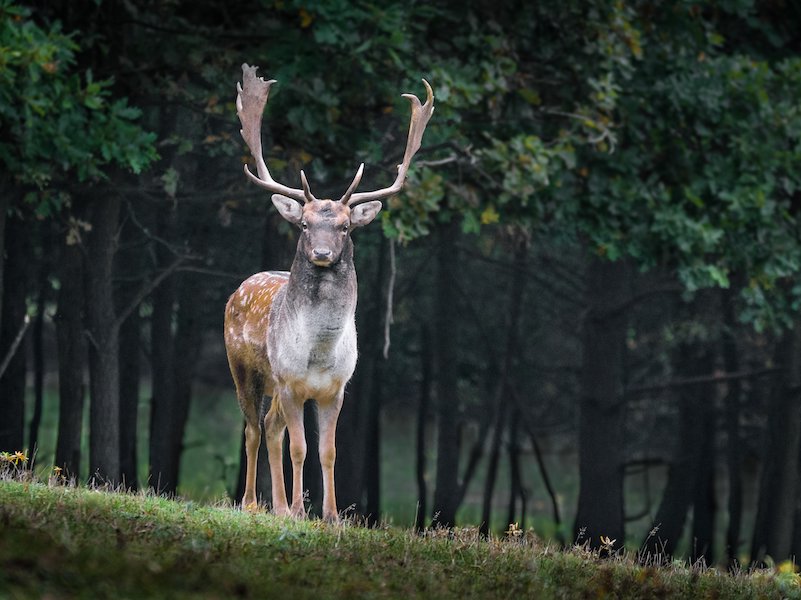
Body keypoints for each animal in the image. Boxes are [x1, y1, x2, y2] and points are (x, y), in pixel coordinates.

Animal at [224, 64, 434, 521]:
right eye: (304, 224)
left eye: (345, 226)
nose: (321, 253)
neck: (319, 354)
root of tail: (239, 288)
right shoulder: (290, 383)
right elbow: (300, 448)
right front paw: (301, 511)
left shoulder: (336, 389)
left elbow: (328, 451)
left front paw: (331, 515)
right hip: (244, 369)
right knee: (252, 429)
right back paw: (252, 503)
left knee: (270, 428)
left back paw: (278, 506)